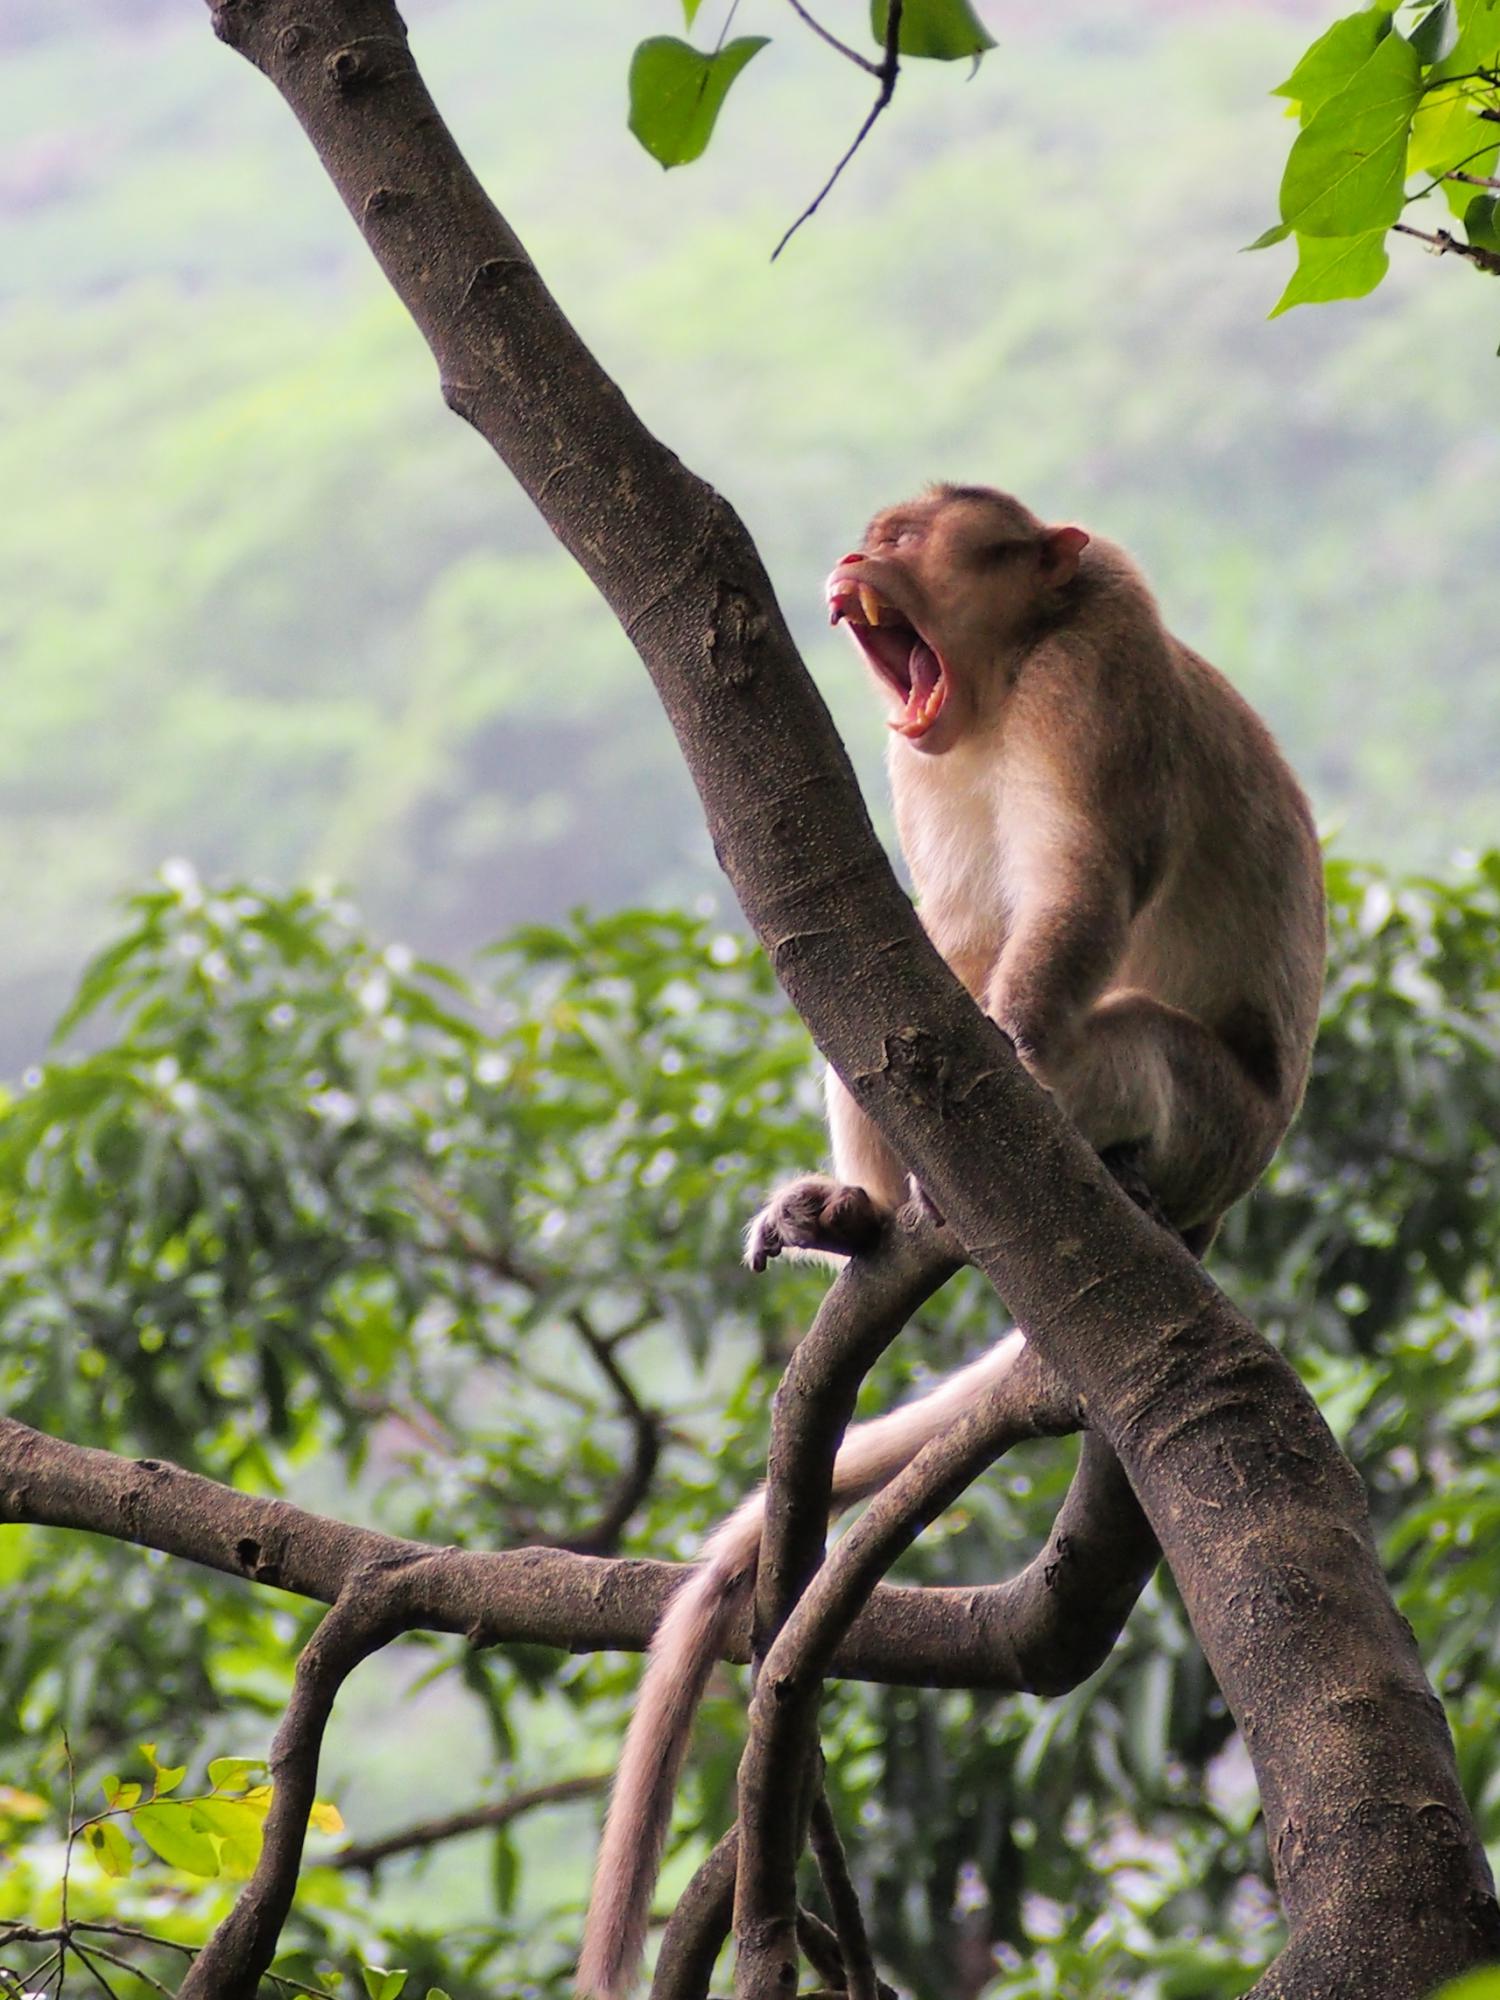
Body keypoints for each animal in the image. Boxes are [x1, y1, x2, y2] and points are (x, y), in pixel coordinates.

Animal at [576, 488, 1328, 2000]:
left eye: (906, 528)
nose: (854, 560)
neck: (997, 685)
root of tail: (1230, 1191)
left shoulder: (1098, 676)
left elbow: (1075, 897)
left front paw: (1019, 1039)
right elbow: (944, 949)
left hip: (1211, 1118)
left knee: (1116, 1040)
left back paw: (1085, 1156)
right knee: (890, 1009)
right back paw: (864, 1211)